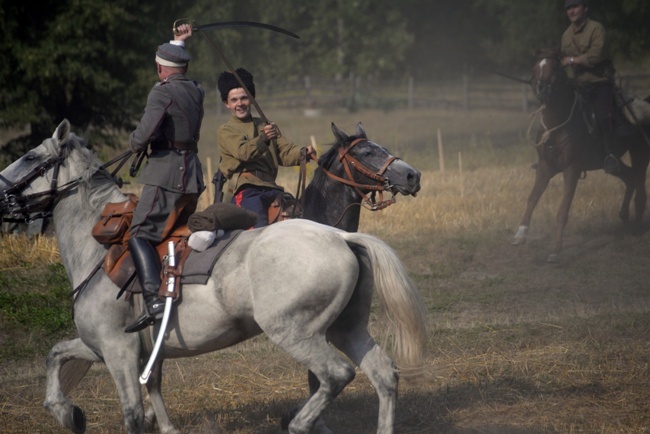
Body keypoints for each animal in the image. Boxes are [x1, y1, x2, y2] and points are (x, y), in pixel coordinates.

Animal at [0, 118, 428, 434]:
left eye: (29, 156)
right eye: (366, 151)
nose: (412, 177)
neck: (102, 245)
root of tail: (340, 237)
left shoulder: (117, 351)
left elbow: (133, 413)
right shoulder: (106, 347)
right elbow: (57, 355)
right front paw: (67, 412)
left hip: (297, 332)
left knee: (335, 374)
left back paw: (300, 423)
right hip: (345, 328)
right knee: (383, 375)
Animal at [512, 49, 648, 262]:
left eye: (556, 70)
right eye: (535, 68)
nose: (541, 88)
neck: (557, 126)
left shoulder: (572, 170)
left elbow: (563, 210)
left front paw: (555, 250)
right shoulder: (544, 167)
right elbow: (532, 198)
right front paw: (520, 234)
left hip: (641, 154)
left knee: (640, 190)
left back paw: (635, 228)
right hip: (612, 163)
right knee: (630, 178)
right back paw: (624, 216)